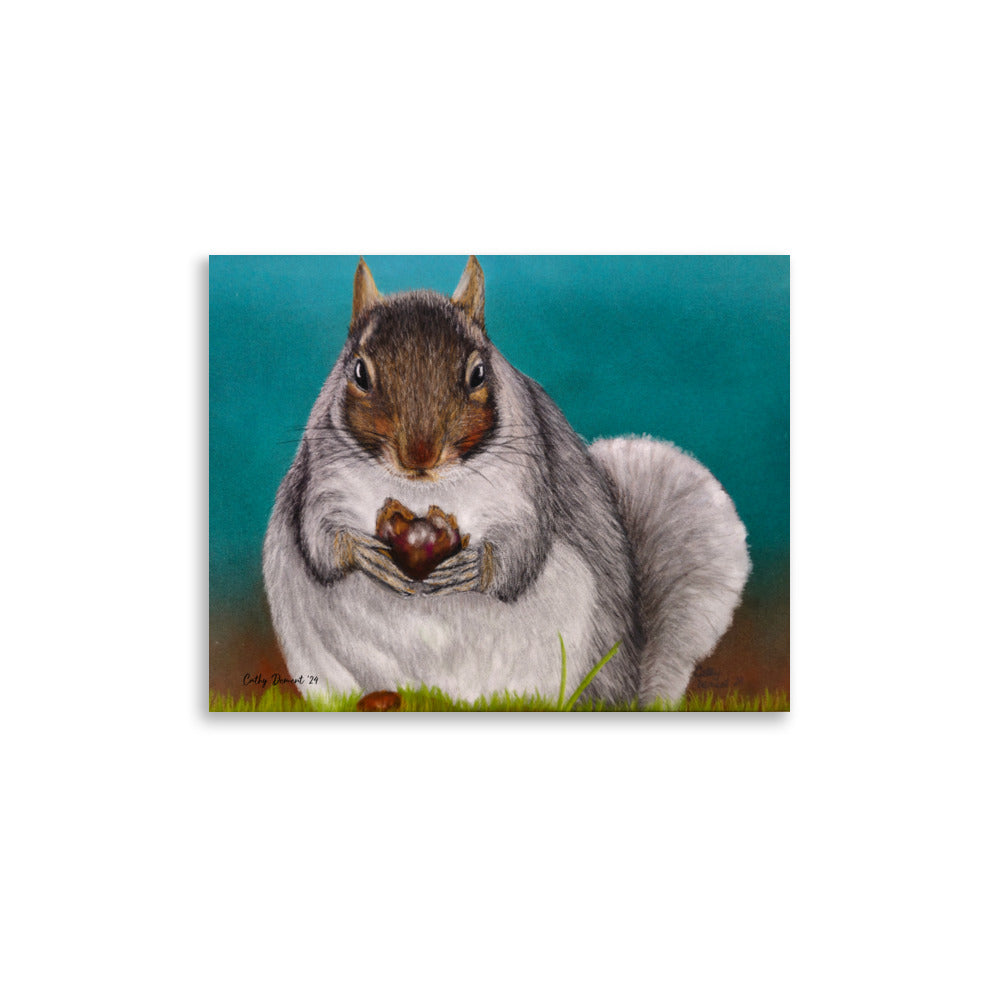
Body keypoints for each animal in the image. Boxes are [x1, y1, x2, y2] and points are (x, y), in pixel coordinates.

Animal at [263, 256, 750, 706]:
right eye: (359, 372)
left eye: (478, 373)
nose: (419, 456)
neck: (421, 490)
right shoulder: (323, 478)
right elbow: (319, 537)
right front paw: (364, 552)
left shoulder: (527, 483)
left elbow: (524, 546)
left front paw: (475, 566)